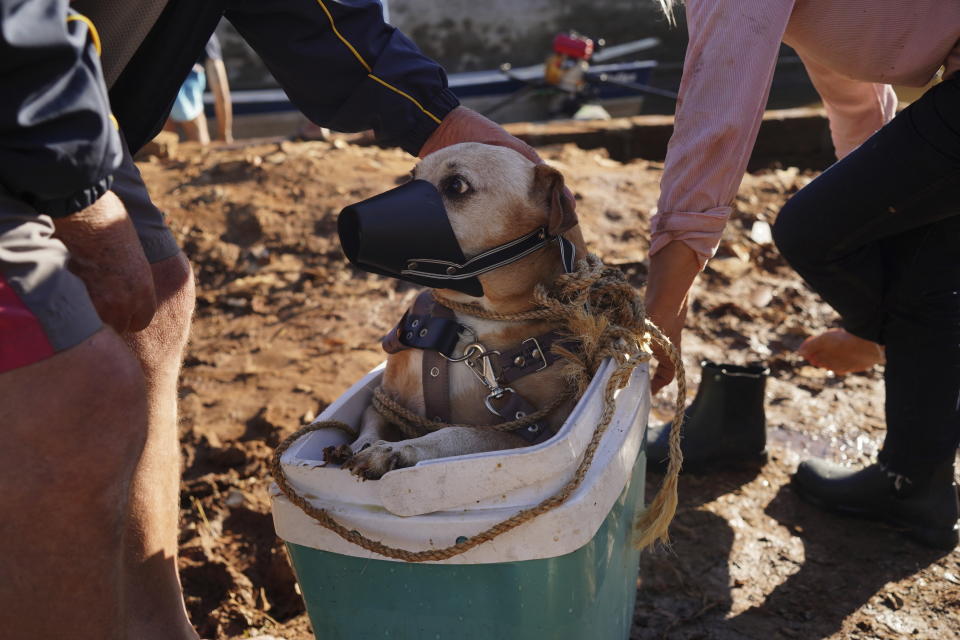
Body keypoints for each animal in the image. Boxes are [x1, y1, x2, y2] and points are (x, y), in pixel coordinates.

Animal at [342, 142, 588, 478]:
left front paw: (398, 450)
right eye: (413, 176)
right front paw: (364, 444)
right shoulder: (386, 400)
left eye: (456, 185)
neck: (472, 319)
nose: (347, 221)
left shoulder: (528, 437)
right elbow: (373, 417)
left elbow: (456, 432)